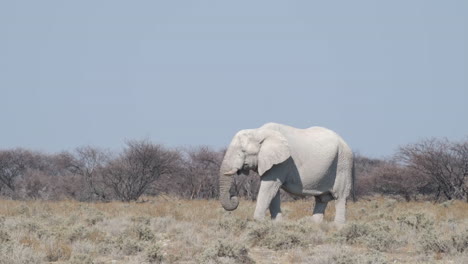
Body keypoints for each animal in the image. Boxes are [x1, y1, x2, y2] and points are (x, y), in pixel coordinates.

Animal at [219, 122, 354, 225]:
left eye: (243, 151)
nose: (234, 197)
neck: (259, 132)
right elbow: (273, 192)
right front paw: (277, 223)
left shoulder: (281, 162)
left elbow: (268, 187)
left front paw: (259, 222)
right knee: (321, 199)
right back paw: (314, 225)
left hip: (343, 163)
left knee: (340, 196)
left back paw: (338, 226)